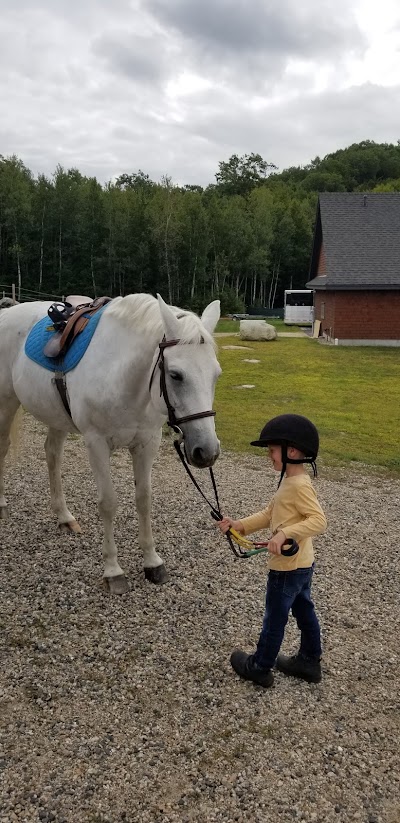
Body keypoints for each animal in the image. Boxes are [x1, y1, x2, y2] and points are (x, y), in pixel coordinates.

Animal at [0, 294, 220, 592]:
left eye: (216, 375)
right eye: (175, 375)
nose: (207, 451)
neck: (122, 375)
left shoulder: (146, 444)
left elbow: (144, 499)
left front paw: (152, 562)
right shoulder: (97, 443)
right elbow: (108, 503)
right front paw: (113, 570)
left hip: (56, 415)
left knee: (52, 454)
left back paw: (64, 516)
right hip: (6, 403)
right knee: (3, 448)